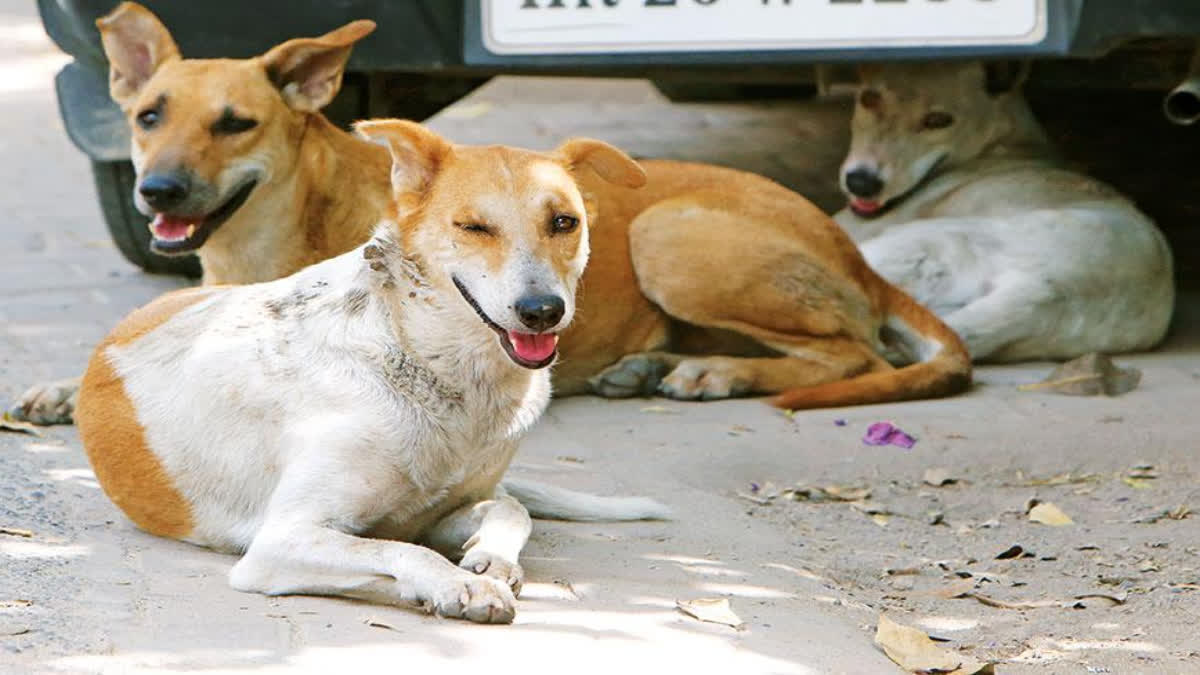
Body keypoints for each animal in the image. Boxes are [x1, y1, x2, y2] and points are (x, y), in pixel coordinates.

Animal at [14, 2, 969, 420]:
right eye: (149, 117)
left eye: (234, 123)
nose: (158, 192)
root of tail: (856, 251)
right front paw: (64, 386)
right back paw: (659, 365)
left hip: (668, 235)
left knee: (851, 351)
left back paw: (714, 374)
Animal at [75, 120, 667, 619]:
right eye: (474, 227)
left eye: (564, 222)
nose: (542, 310)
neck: (430, 361)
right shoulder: (282, 541)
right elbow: (400, 549)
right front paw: (458, 585)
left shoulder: (449, 508)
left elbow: (509, 508)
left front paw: (489, 559)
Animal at [835, 60, 1171, 360]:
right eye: (868, 99)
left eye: (938, 120)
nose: (861, 183)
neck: (1006, 143)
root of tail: (1041, 294)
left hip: (916, 244)